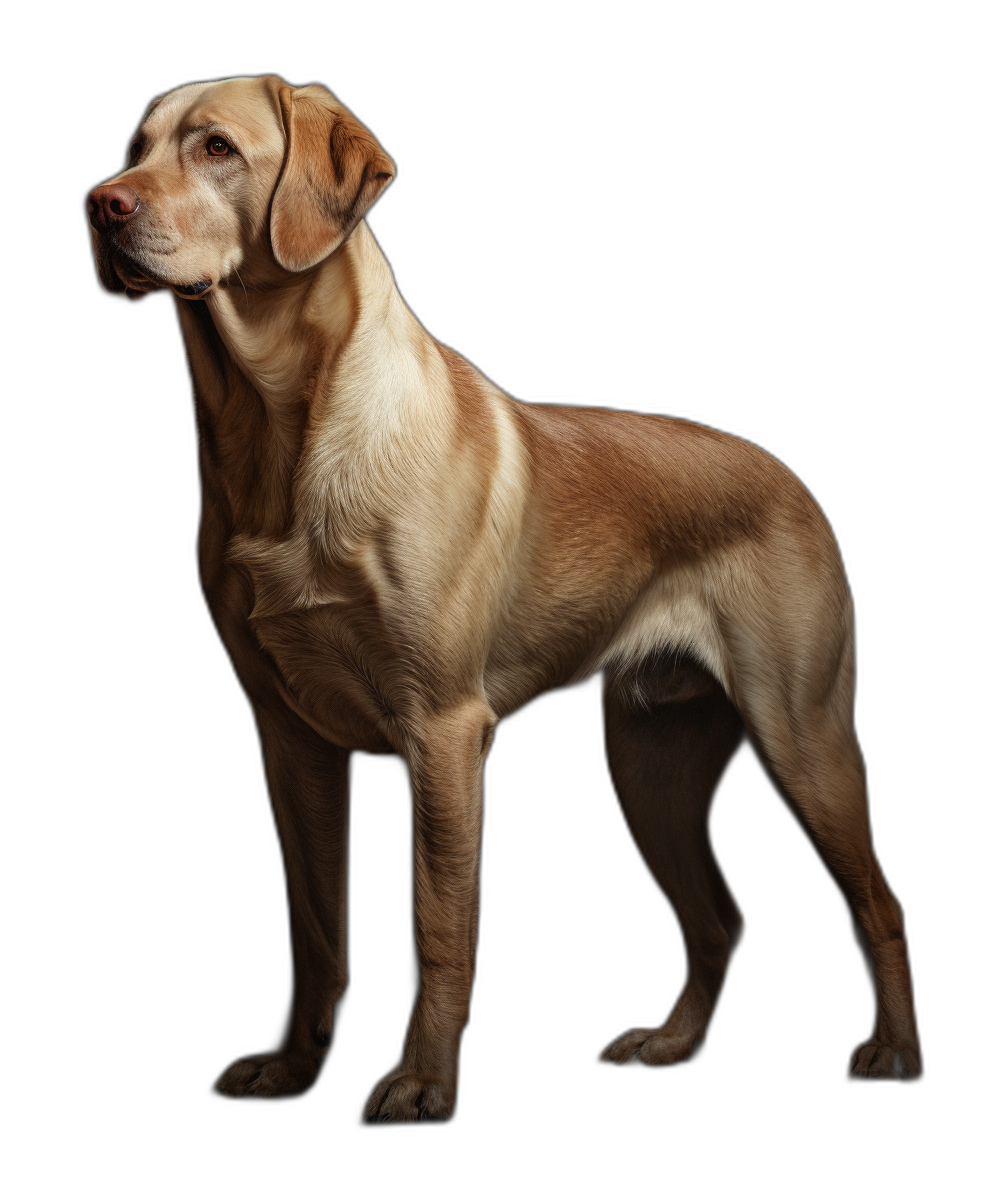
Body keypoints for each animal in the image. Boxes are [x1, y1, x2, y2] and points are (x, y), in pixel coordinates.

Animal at [86, 76, 923, 1117]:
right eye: (135, 146)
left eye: (215, 149)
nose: (101, 205)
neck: (276, 431)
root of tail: (792, 479)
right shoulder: (290, 739)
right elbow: (316, 928)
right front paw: (291, 1067)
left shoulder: (443, 731)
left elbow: (440, 927)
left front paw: (421, 1083)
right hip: (651, 762)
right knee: (719, 918)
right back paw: (670, 1041)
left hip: (801, 737)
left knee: (878, 903)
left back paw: (892, 1050)